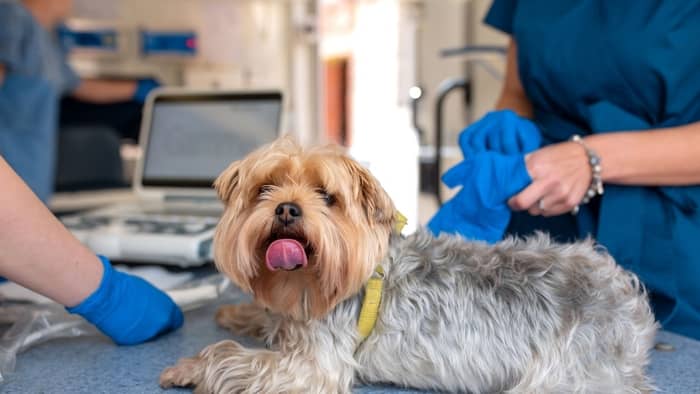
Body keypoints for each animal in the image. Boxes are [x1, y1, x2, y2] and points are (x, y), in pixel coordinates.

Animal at [159, 136, 656, 394]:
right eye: (265, 188)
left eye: (327, 196)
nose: (286, 208)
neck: (307, 283)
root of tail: (625, 295)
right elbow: (265, 319)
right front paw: (237, 312)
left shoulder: (313, 367)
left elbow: (232, 357)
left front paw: (189, 367)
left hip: (564, 374)